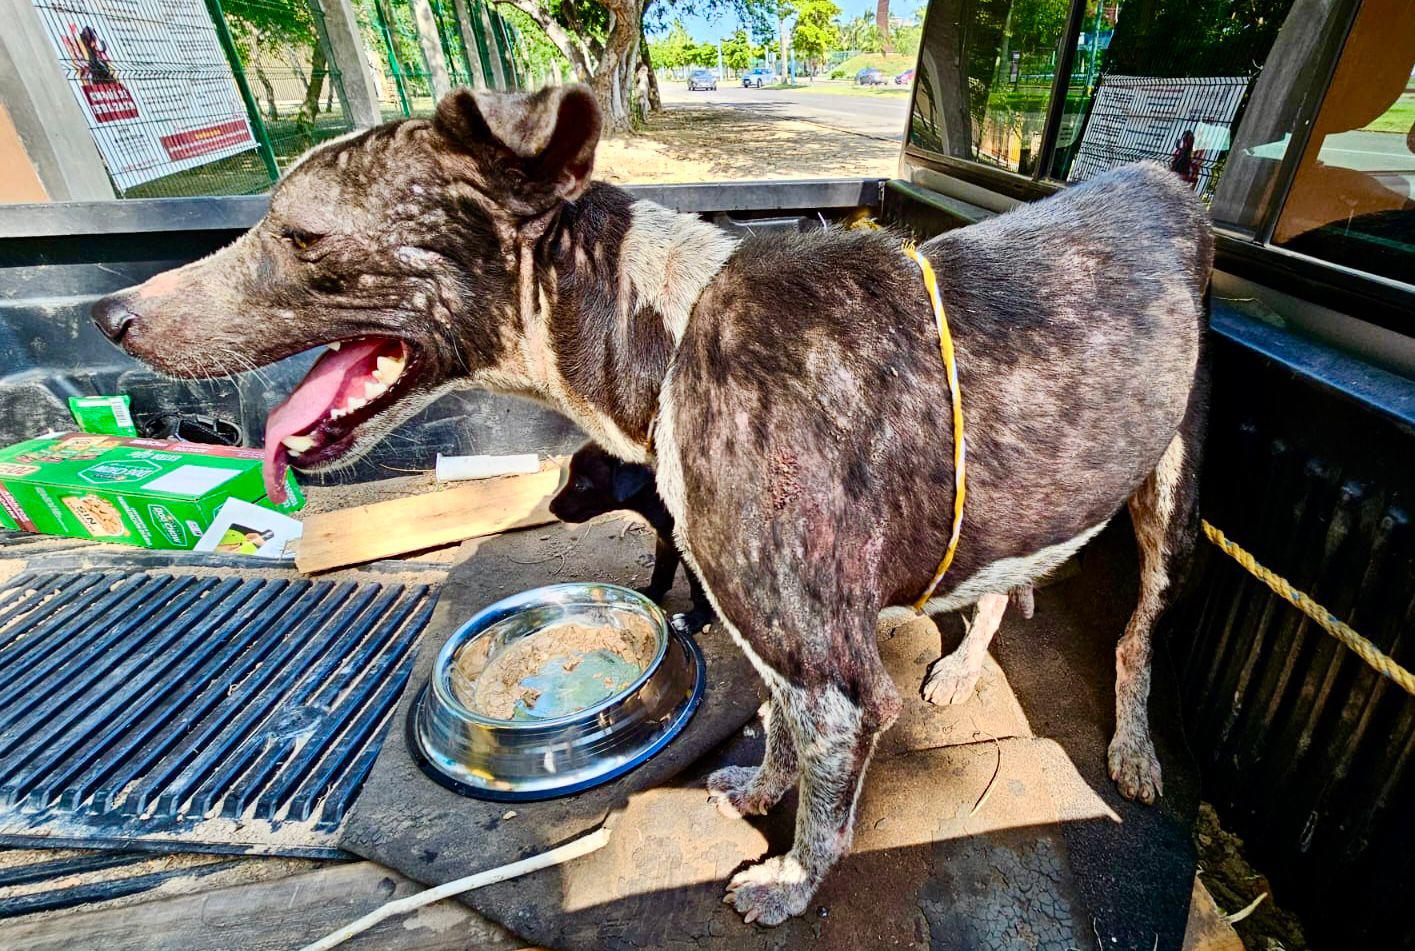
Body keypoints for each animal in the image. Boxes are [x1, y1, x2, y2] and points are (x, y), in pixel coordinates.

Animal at [546, 444, 713, 631]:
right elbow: (661, 571)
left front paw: (696, 619)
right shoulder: (666, 537)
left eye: (580, 484)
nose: (551, 508)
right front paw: (650, 595)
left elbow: (699, 588)